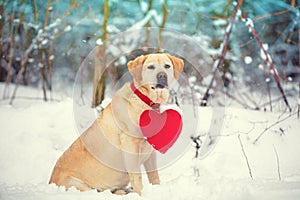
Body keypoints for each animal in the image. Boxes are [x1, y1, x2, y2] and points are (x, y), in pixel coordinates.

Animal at [48, 52, 184, 195]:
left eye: (167, 66)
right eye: (150, 67)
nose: (162, 76)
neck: (145, 100)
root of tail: (50, 181)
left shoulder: (151, 150)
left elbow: (154, 176)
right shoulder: (130, 146)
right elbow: (137, 178)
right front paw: (142, 194)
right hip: (78, 184)